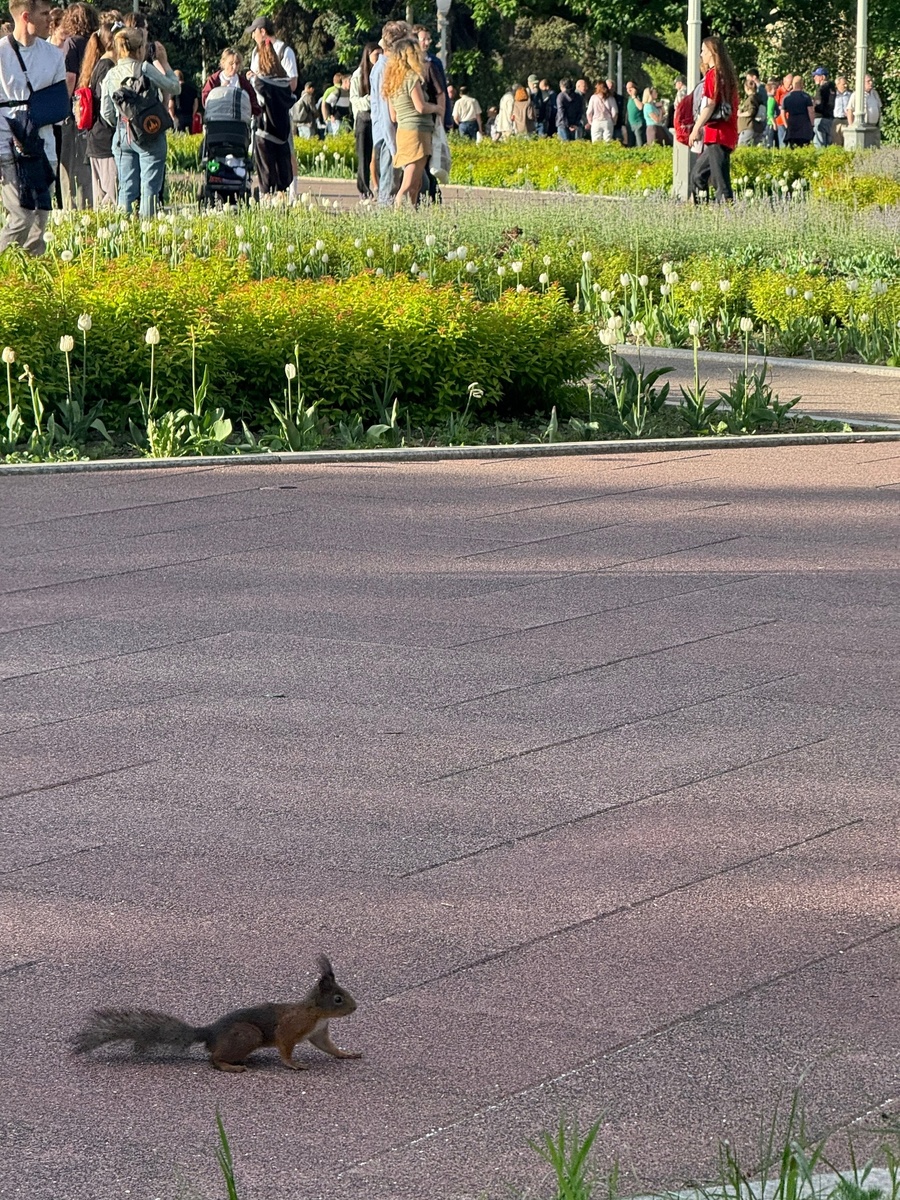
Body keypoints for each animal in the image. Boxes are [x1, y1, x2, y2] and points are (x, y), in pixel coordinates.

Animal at [71, 955, 362, 1073]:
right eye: (338, 999)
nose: (355, 1007)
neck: (317, 1013)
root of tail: (210, 1032)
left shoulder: (319, 1032)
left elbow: (329, 1047)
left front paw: (347, 1054)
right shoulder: (293, 1026)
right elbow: (284, 1044)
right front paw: (293, 1064)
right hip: (248, 1034)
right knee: (213, 1058)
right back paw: (230, 1066)